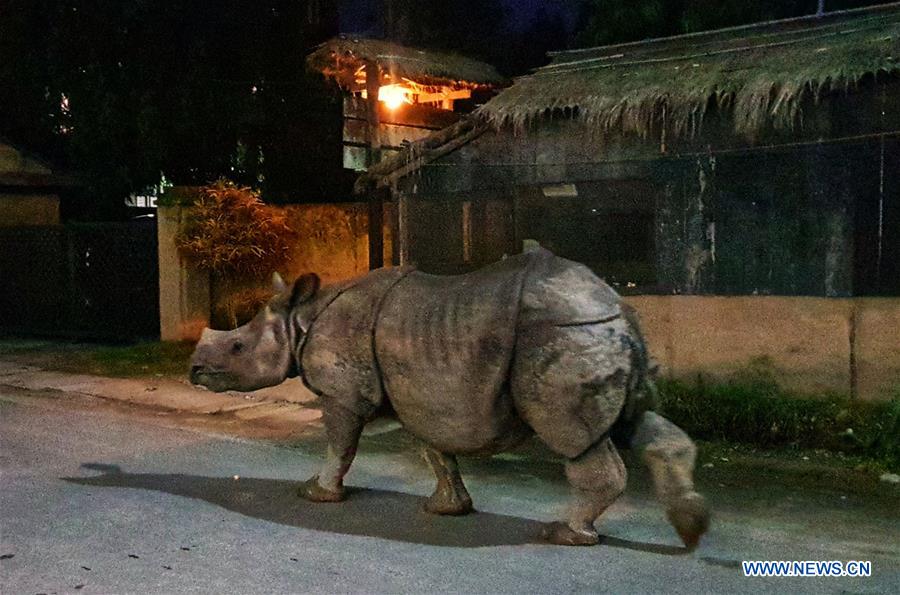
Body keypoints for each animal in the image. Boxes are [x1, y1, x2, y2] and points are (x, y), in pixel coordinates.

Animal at [190, 249, 710, 547]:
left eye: (238, 348)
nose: (194, 370)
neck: (300, 320)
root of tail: (617, 305)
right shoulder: (421, 393)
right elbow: (436, 451)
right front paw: (446, 509)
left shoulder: (344, 393)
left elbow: (341, 444)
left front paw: (317, 494)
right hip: (598, 334)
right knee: (637, 420)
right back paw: (692, 525)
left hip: (563, 336)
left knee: (574, 437)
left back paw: (563, 535)